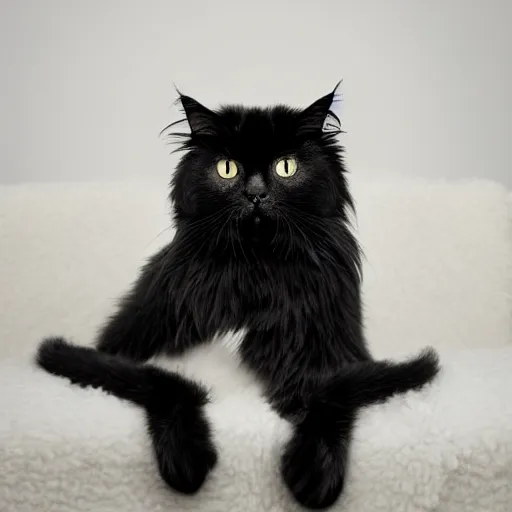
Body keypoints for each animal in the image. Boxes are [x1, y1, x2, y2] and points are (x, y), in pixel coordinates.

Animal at [38, 88, 440, 508]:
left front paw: (315, 476)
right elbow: (164, 381)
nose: (256, 194)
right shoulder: (124, 352)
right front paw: (186, 461)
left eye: (286, 167)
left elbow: (335, 391)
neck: (256, 273)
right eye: (227, 169)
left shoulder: (332, 360)